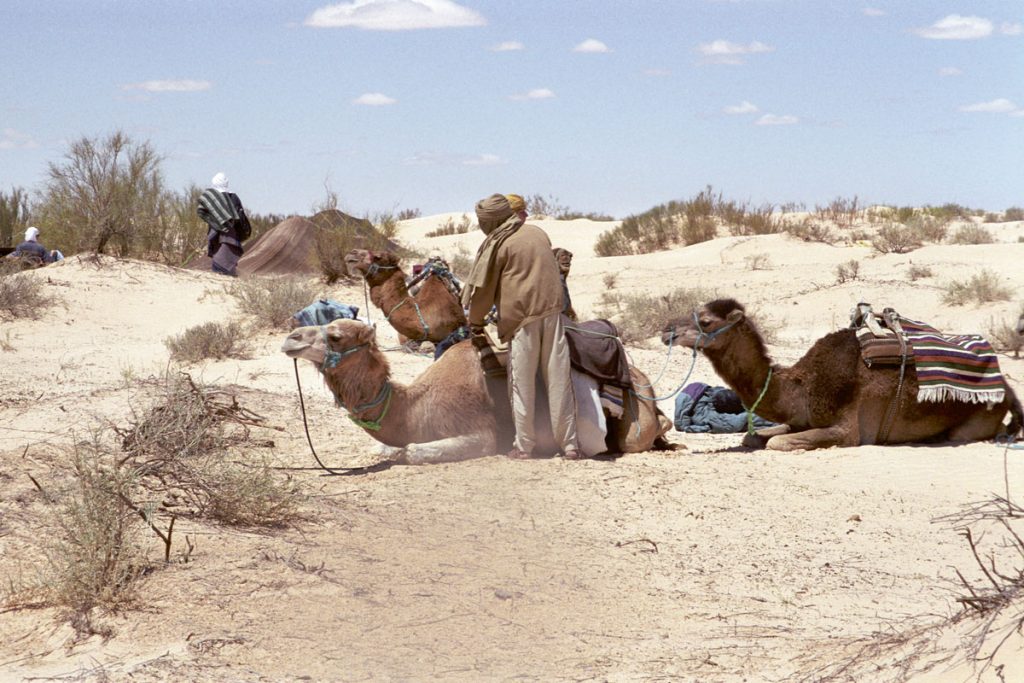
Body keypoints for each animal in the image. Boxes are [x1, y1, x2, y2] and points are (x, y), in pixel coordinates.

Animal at [284, 321, 675, 464]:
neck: (414, 406)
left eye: (335, 335)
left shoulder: (480, 433)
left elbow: (411, 451)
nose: (291, 338)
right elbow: (386, 447)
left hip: (631, 427)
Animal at [659, 296, 1019, 450]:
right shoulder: (798, 418)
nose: (666, 330)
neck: (803, 386)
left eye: (706, 321)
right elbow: (754, 436)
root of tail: (1006, 386)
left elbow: (777, 443)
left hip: (978, 417)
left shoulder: (848, 430)